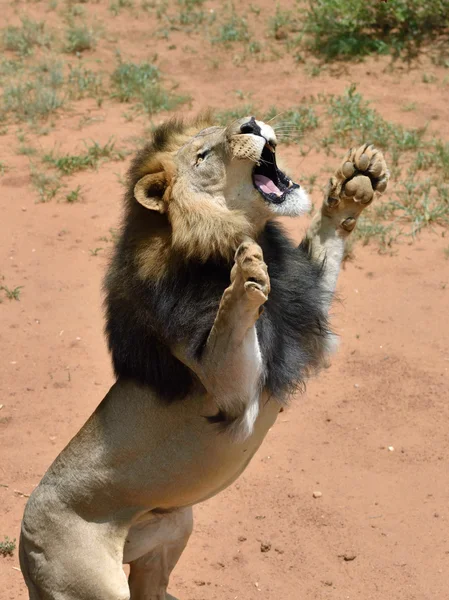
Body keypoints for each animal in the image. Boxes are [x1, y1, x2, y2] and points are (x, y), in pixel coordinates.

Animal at [19, 113, 386, 600]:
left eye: (229, 124)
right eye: (203, 155)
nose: (251, 123)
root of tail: (24, 546)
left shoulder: (302, 315)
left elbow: (324, 241)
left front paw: (354, 182)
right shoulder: (231, 396)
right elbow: (227, 331)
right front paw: (244, 274)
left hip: (174, 525)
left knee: (152, 590)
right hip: (85, 579)